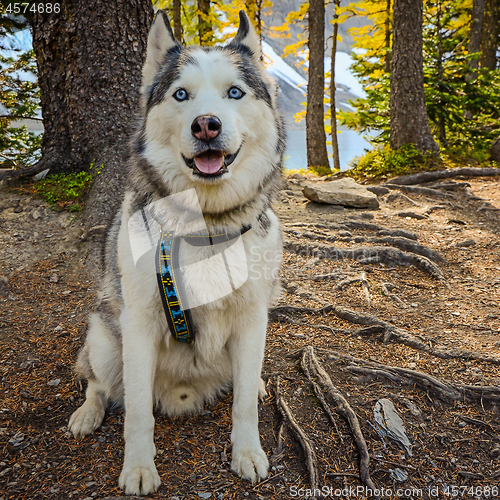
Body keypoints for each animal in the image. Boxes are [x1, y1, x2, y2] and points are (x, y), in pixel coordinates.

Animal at [68, 7, 286, 496]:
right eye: (180, 94)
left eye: (235, 92)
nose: (206, 124)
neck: (206, 227)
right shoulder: (140, 322)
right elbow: (136, 413)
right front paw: (138, 467)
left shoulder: (253, 317)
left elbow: (244, 403)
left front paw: (247, 453)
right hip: (105, 336)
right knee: (98, 383)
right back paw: (87, 413)